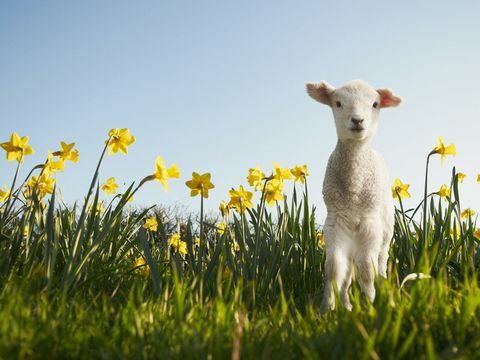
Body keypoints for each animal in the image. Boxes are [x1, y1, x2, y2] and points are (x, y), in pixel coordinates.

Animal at [308, 79, 402, 312]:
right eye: (338, 103)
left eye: (375, 104)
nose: (358, 120)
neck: (353, 193)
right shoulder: (335, 222)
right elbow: (334, 268)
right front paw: (327, 309)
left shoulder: (369, 224)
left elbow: (367, 268)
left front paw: (370, 303)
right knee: (348, 270)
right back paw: (346, 304)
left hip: (386, 231)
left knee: (380, 262)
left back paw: (381, 289)